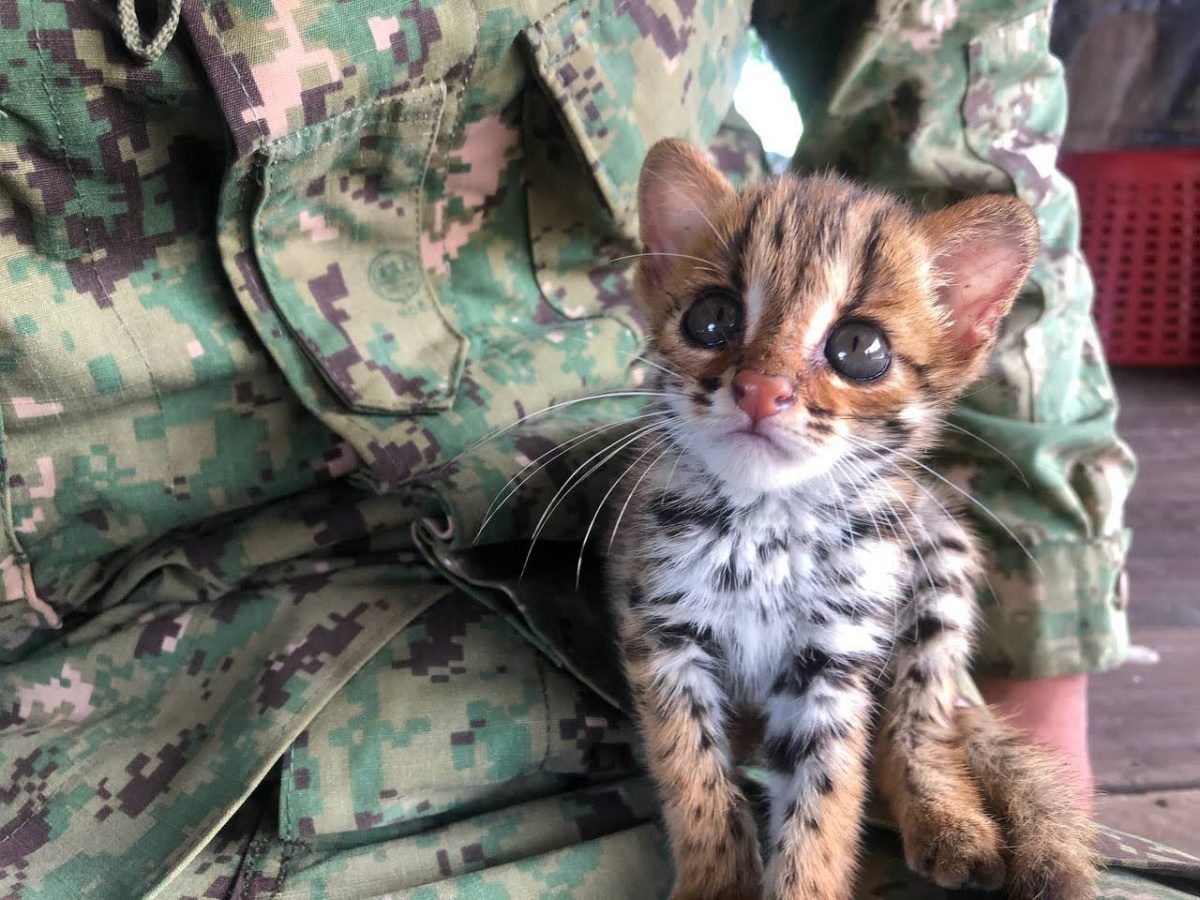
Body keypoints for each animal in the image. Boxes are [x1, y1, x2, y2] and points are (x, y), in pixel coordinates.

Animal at [609, 141, 1099, 900]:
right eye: (712, 317)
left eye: (859, 348)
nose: (760, 389)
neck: (769, 525)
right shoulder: (664, 632)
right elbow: (694, 775)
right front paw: (716, 881)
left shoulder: (834, 658)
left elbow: (827, 801)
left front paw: (805, 882)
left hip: (940, 561)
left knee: (918, 726)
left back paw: (947, 820)